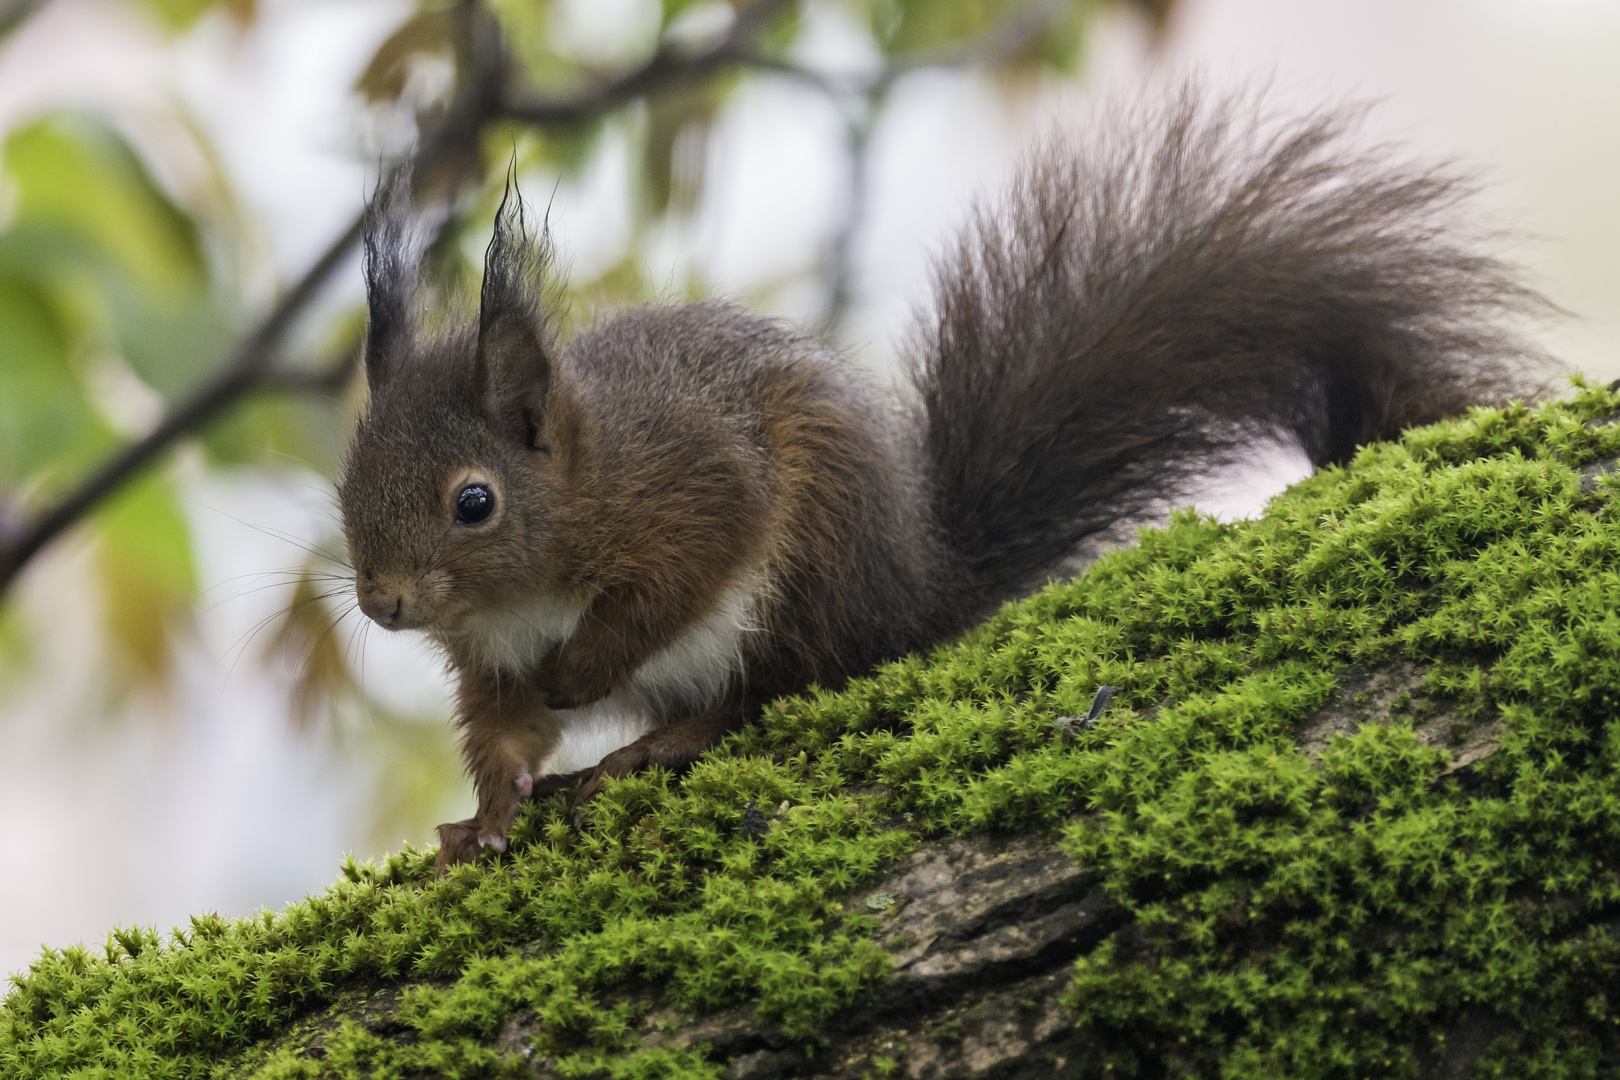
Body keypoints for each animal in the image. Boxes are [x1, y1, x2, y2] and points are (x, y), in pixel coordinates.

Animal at [335, 88, 1548, 874]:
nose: (384, 604)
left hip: (817, 556)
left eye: (474, 502)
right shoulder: (488, 652)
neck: (540, 571)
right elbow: (502, 730)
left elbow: (678, 579)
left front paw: (584, 669)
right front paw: (487, 815)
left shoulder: (690, 486)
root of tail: (919, 583)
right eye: (346, 484)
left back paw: (666, 736)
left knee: (790, 679)